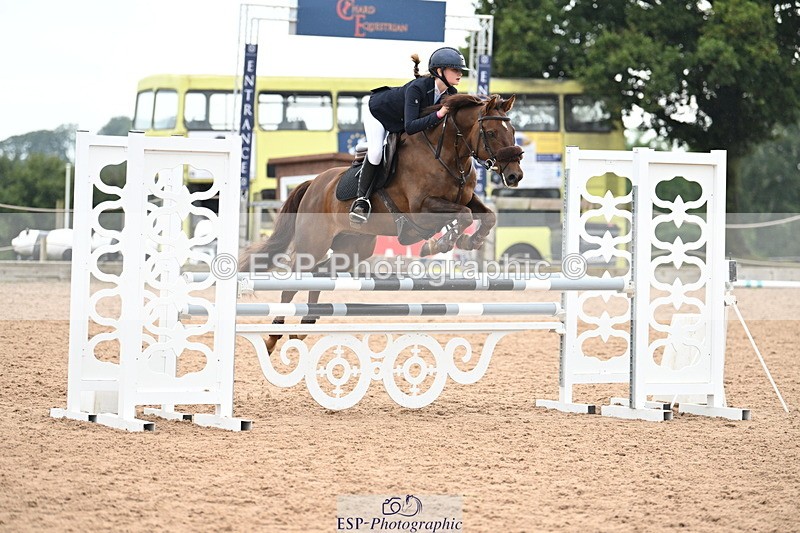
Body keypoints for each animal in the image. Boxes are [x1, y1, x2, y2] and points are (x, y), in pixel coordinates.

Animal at [239, 93, 524, 353]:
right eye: (491, 132)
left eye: (512, 131)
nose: (515, 176)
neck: (448, 155)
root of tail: (313, 184)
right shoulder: (421, 209)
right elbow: (463, 215)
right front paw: (441, 243)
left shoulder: (466, 199)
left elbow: (486, 215)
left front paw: (469, 240)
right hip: (314, 243)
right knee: (294, 282)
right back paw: (274, 335)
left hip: (353, 248)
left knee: (319, 275)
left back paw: (305, 325)